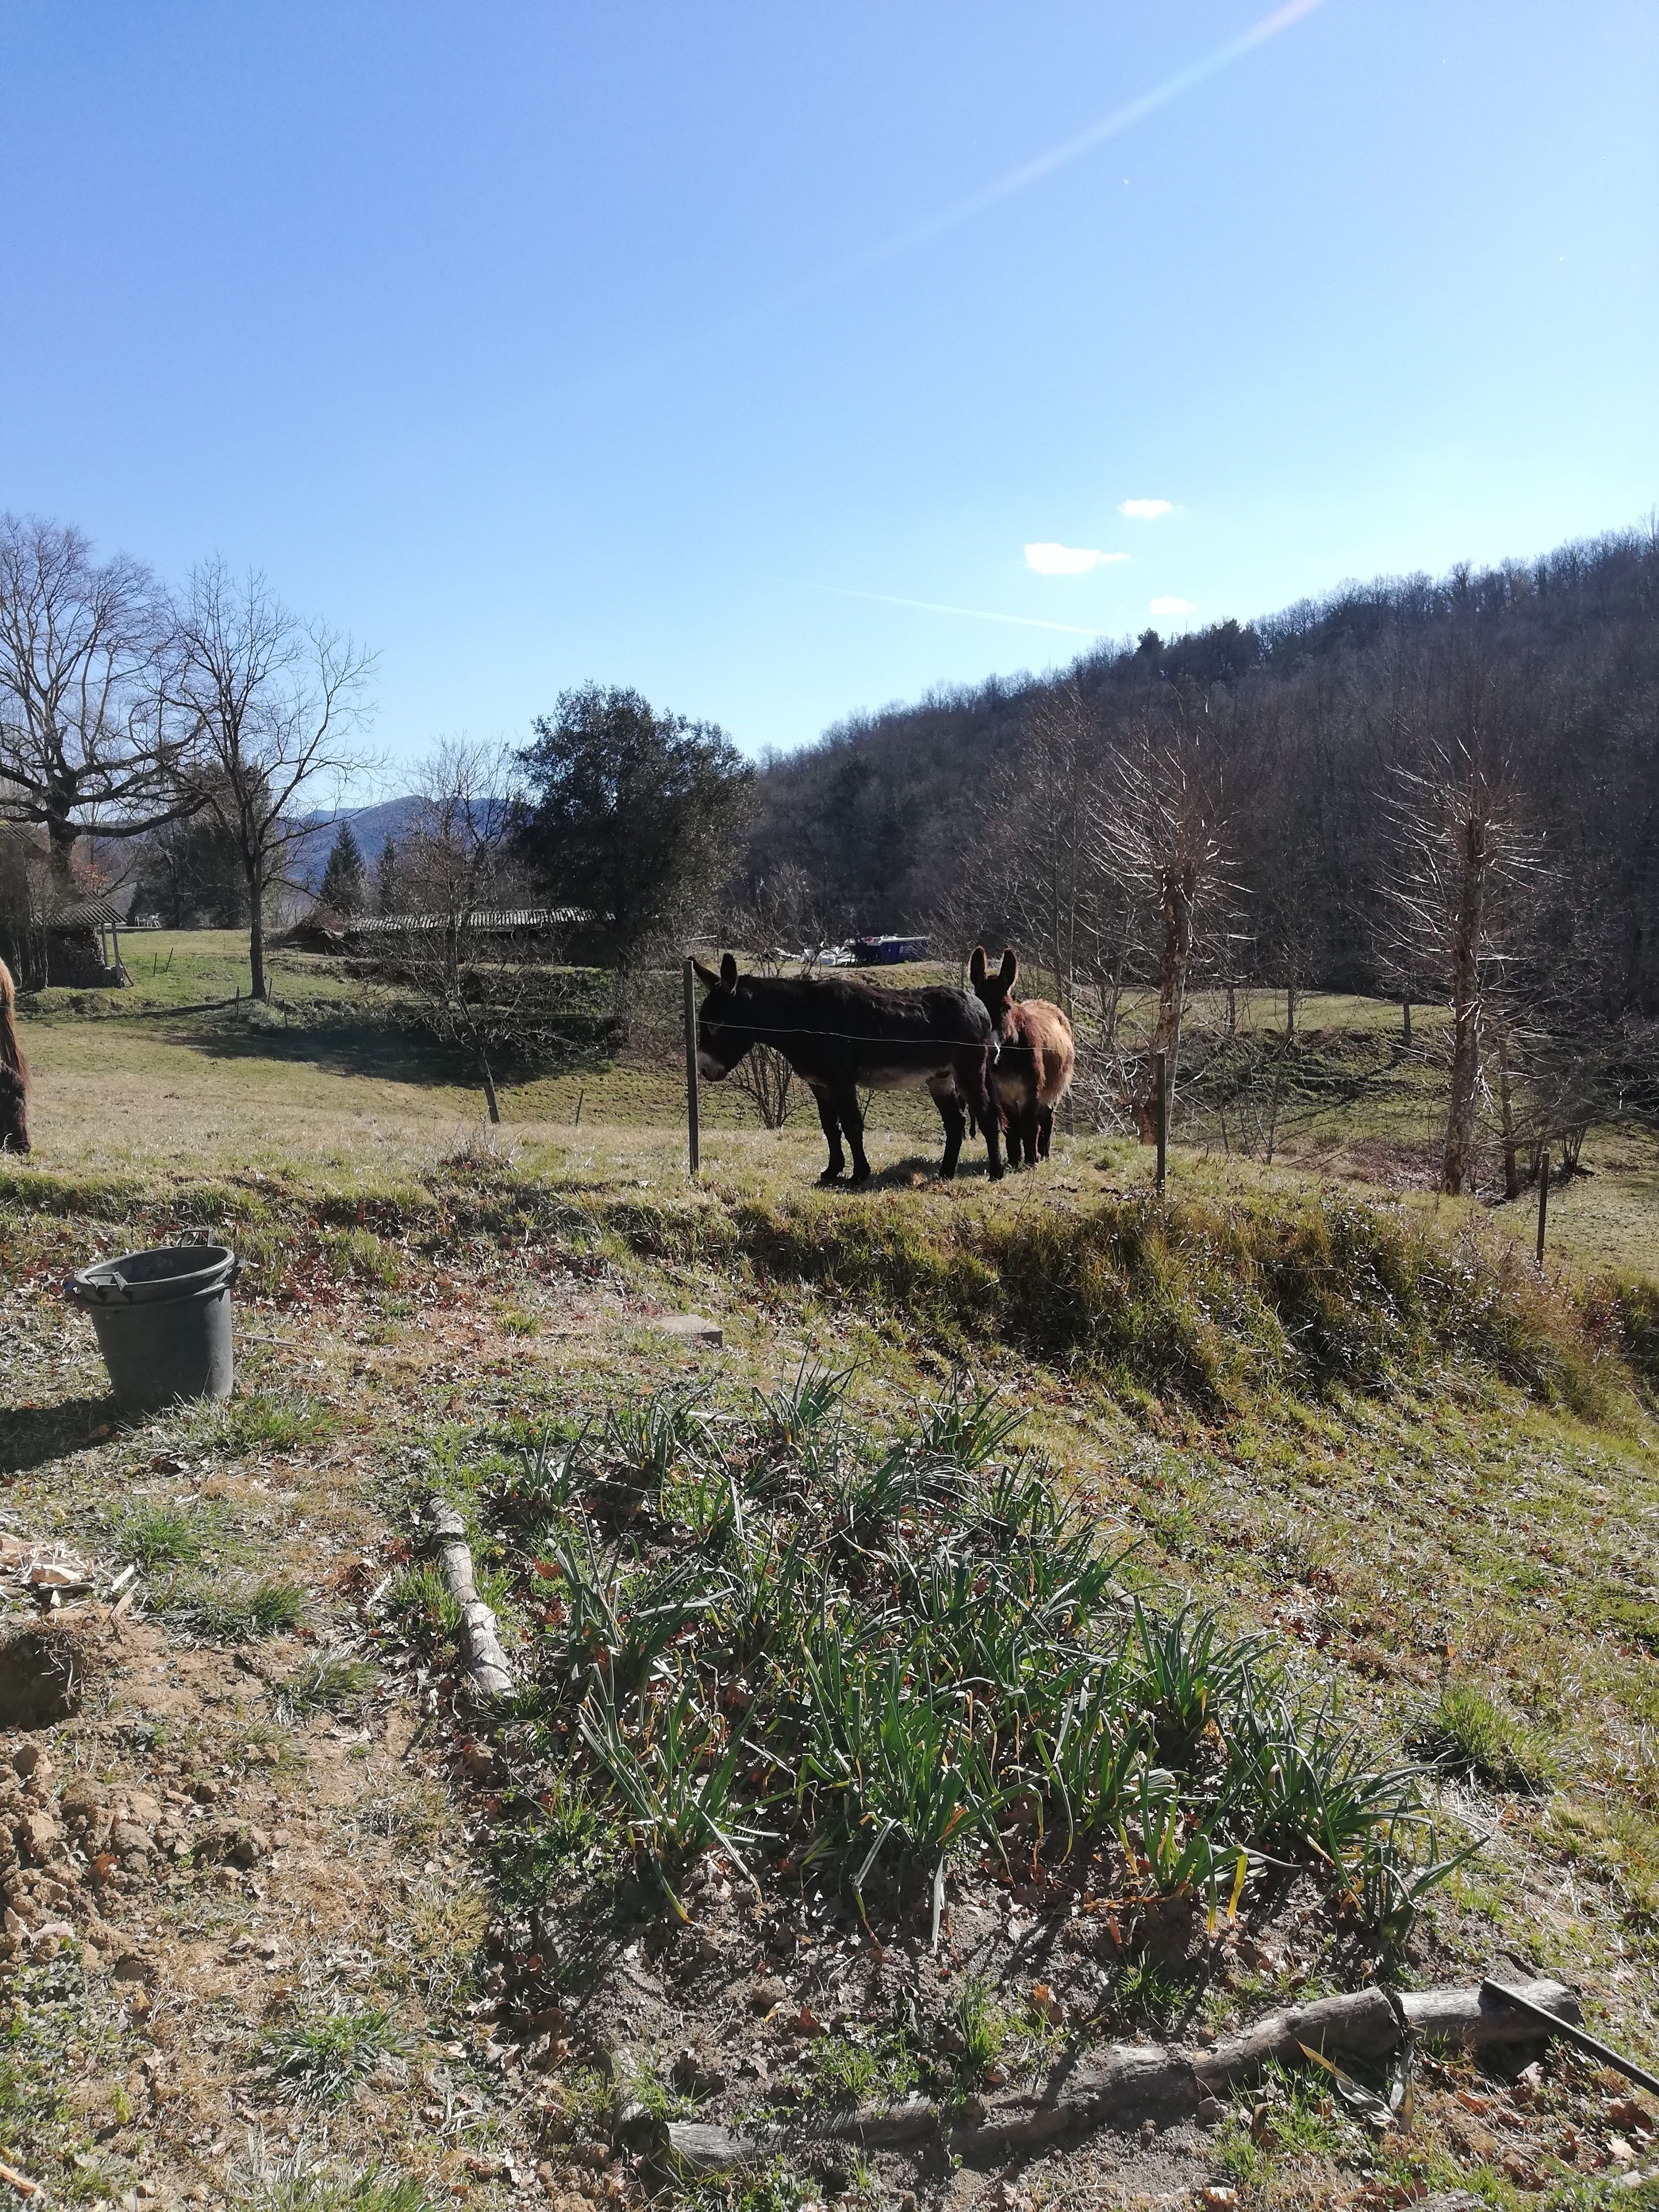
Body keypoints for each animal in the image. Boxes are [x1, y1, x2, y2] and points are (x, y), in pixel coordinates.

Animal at [693, 952, 1003, 1186]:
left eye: (717, 1025)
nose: (705, 1071)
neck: (801, 1017)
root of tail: (979, 1006)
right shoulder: (820, 1084)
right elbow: (831, 1127)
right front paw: (832, 1172)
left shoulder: (841, 1080)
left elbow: (852, 1125)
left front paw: (859, 1176)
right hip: (940, 1077)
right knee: (955, 1121)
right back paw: (946, 1173)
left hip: (969, 1070)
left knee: (987, 1115)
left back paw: (996, 1174)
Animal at [969, 946, 1075, 1167]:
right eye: (978, 1007)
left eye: (1005, 1008)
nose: (990, 1051)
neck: (1009, 1056)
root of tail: (1044, 1002)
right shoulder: (1003, 1093)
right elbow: (1011, 1127)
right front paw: (1014, 1160)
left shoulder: (1032, 1091)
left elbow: (1029, 1125)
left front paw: (1031, 1161)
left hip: (1052, 1090)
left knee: (1046, 1119)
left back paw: (1043, 1154)